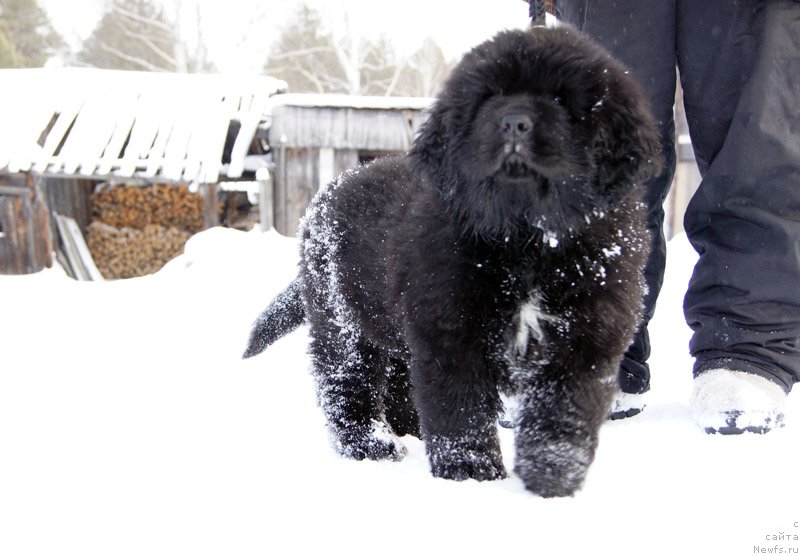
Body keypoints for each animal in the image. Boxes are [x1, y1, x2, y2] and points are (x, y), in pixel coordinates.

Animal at [244, 23, 664, 498]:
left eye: (561, 98)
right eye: (489, 97)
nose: (514, 122)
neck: (525, 238)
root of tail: (325, 196)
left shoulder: (583, 336)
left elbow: (562, 413)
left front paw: (551, 480)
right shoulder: (451, 329)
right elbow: (460, 407)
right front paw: (470, 474)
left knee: (398, 385)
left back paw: (408, 432)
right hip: (343, 319)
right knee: (347, 384)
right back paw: (370, 445)